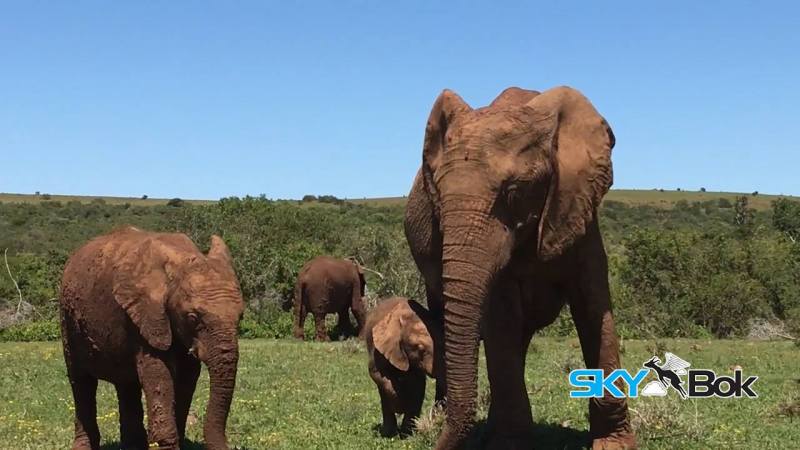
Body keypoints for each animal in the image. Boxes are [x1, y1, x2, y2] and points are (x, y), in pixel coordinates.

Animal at [59, 226, 244, 450]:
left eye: (241, 316)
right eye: (192, 318)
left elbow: (188, 375)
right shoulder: (145, 315)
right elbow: (158, 373)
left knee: (126, 384)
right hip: (67, 319)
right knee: (81, 381)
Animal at [365, 296, 445, 437]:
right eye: (420, 349)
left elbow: (417, 384)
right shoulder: (379, 348)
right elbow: (377, 373)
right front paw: (399, 403)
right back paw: (389, 433)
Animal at [404, 86, 635, 449]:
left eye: (513, 193)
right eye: (436, 196)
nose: (436, 441)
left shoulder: (576, 207)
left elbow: (594, 307)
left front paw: (615, 444)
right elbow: (501, 317)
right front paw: (510, 444)